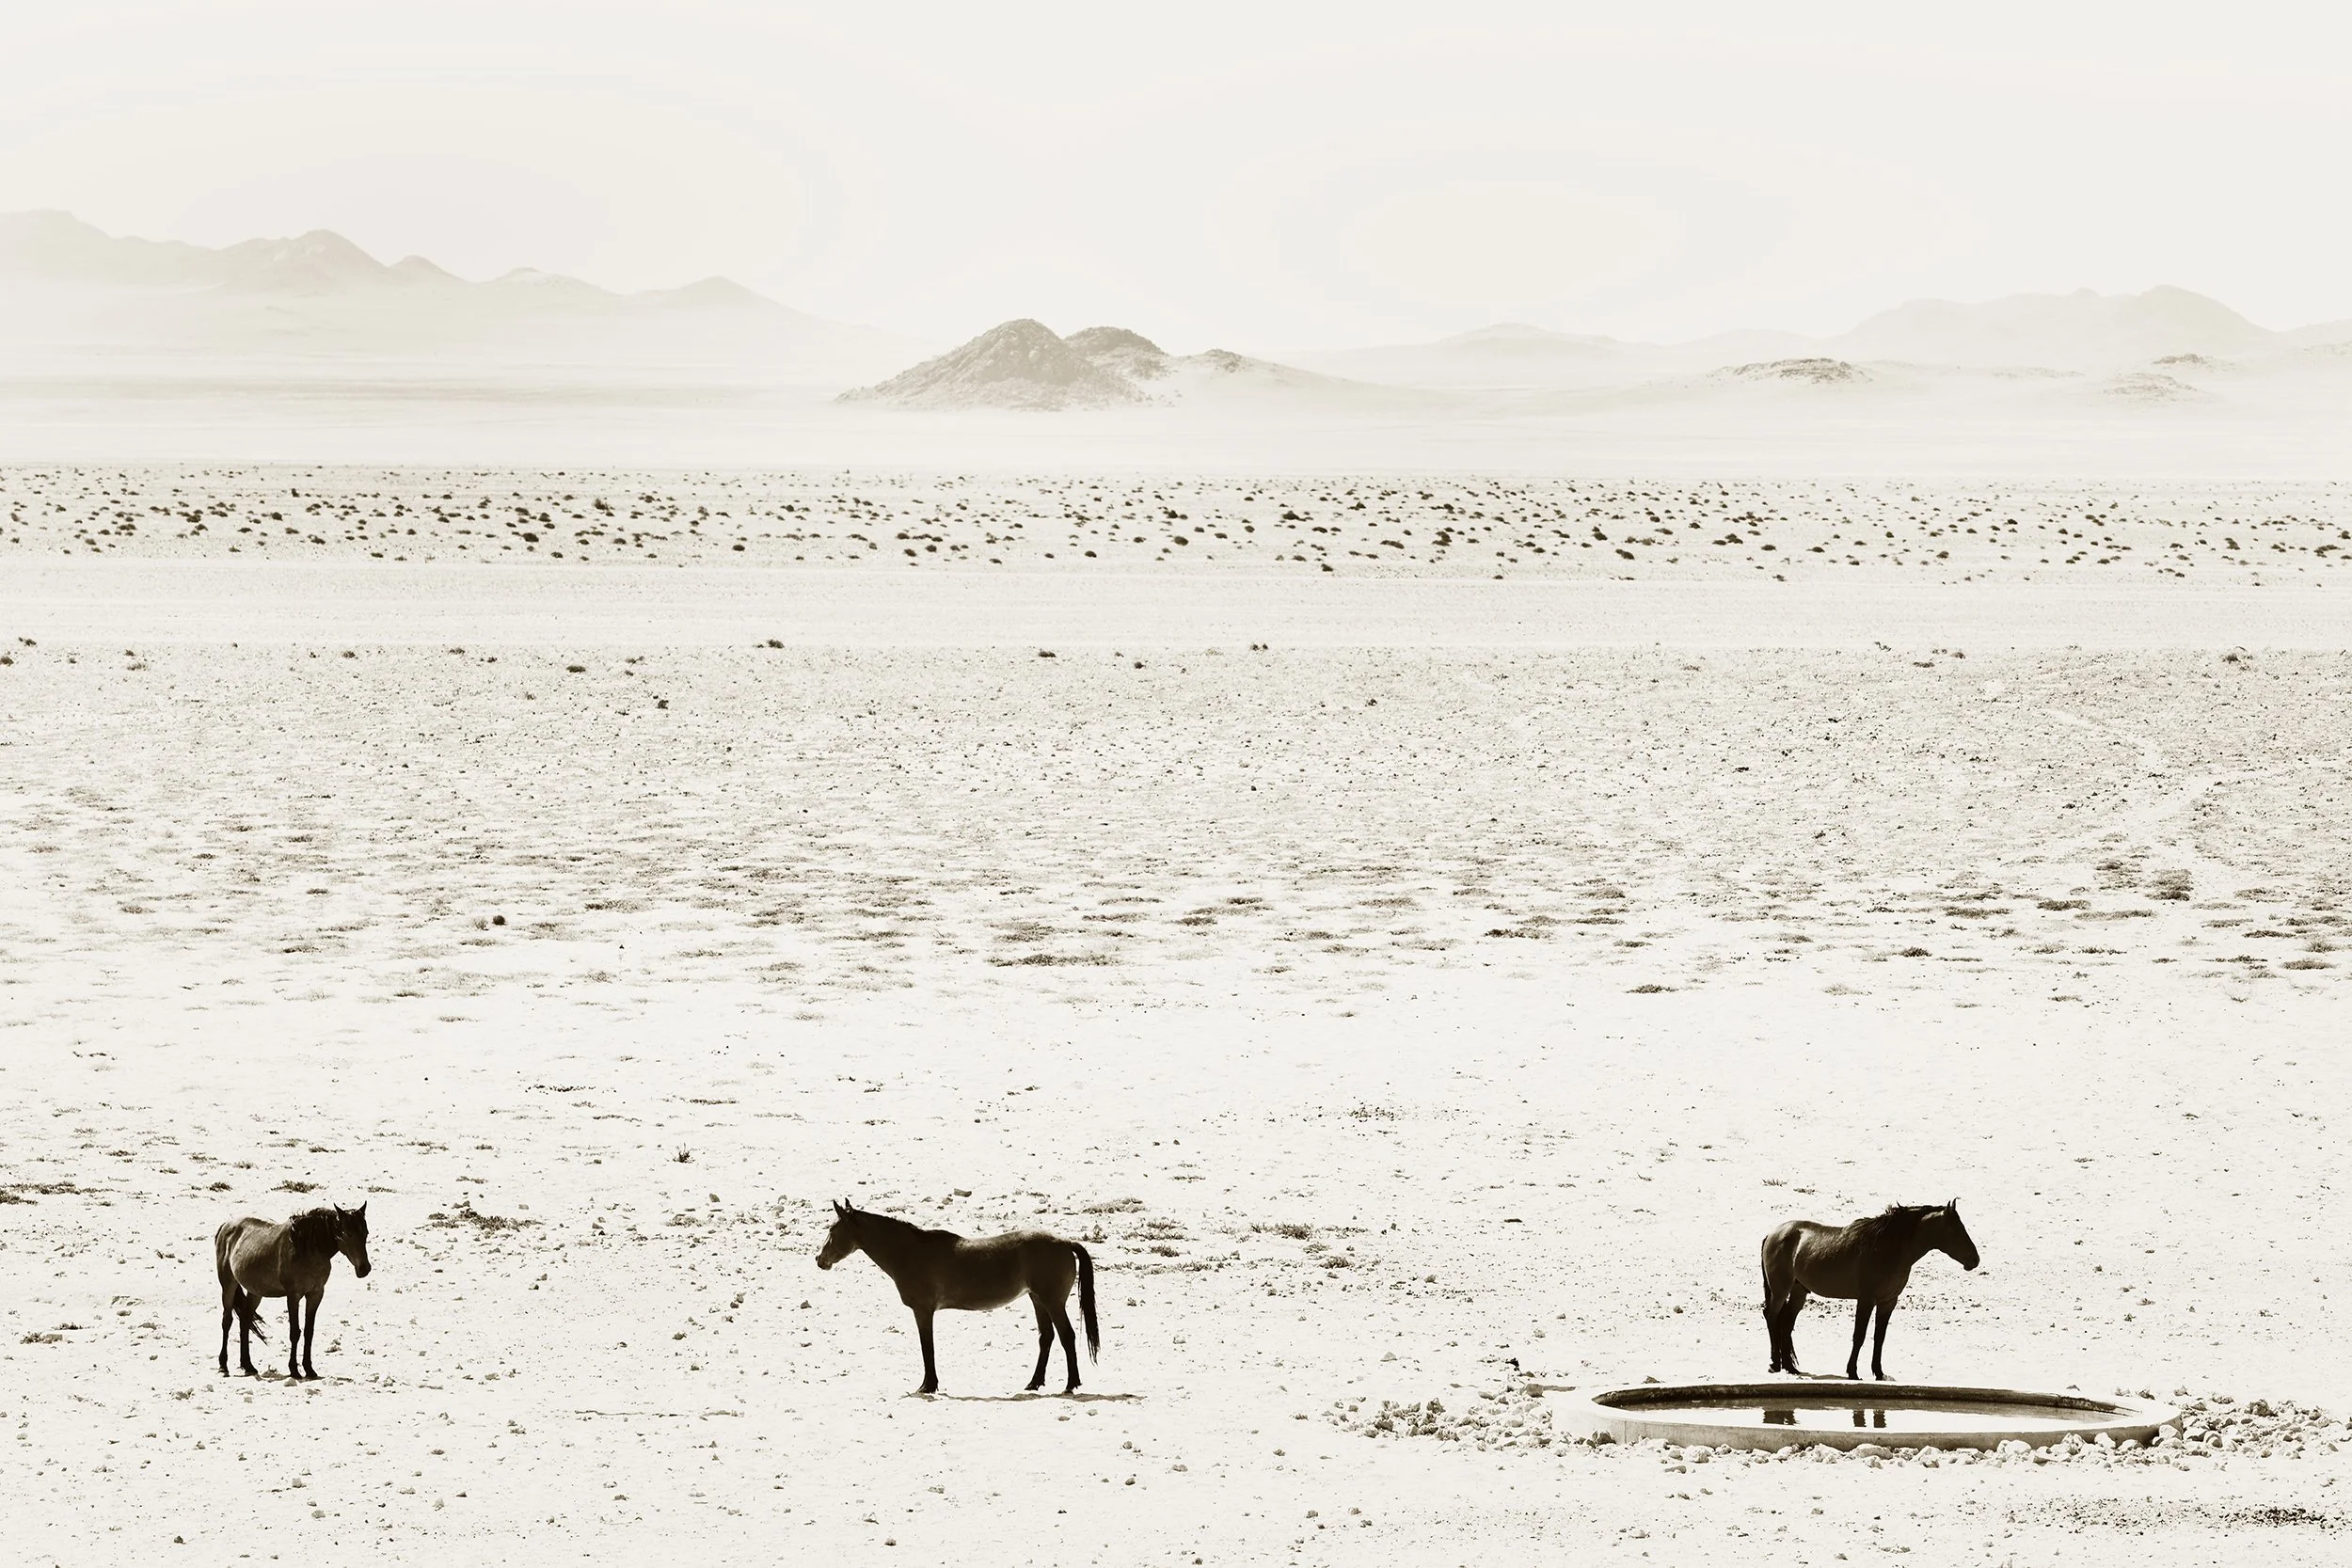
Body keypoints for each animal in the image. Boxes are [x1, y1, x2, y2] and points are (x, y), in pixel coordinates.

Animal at [215, 1204, 372, 1380]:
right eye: (349, 1233)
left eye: (365, 1233)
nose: (364, 1268)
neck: (308, 1248)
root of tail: (225, 1225)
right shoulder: (293, 1295)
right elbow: (295, 1332)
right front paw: (294, 1370)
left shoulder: (316, 1294)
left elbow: (309, 1331)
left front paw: (309, 1369)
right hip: (228, 1285)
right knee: (227, 1321)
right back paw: (223, 1366)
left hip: (255, 1291)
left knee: (245, 1319)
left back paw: (248, 1365)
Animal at [815, 1200, 1098, 1395]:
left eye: (832, 1230)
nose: (819, 1259)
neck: (909, 1252)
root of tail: (1065, 1242)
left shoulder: (923, 1310)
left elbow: (927, 1347)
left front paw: (928, 1386)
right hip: (1037, 1300)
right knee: (1046, 1337)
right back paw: (1034, 1383)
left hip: (1052, 1302)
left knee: (1067, 1336)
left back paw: (1071, 1384)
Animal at [1761, 1200, 1978, 1380]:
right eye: (1955, 1230)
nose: (1975, 1260)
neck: (1886, 1247)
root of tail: (1773, 1234)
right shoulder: (1866, 1300)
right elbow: (1859, 1335)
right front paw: (1853, 1372)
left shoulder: (1888, 1302)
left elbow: (1879, 1338)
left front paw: (1879, 1373)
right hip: (1780, 1291)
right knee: (1772, 1317)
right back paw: (1775, 1364)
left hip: (1799, 1292)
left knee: (1786, 1323)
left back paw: (1790, 1367)